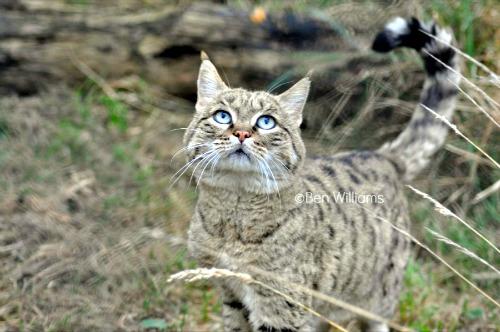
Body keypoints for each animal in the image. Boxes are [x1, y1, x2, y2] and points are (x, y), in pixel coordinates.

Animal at [182, 16, 458, 332]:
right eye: (222, 116)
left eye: (266, 122)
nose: (241, 133)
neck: (233, 219)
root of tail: (383, 156)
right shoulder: (231, 292)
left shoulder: (280, 304)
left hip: (379, 296)